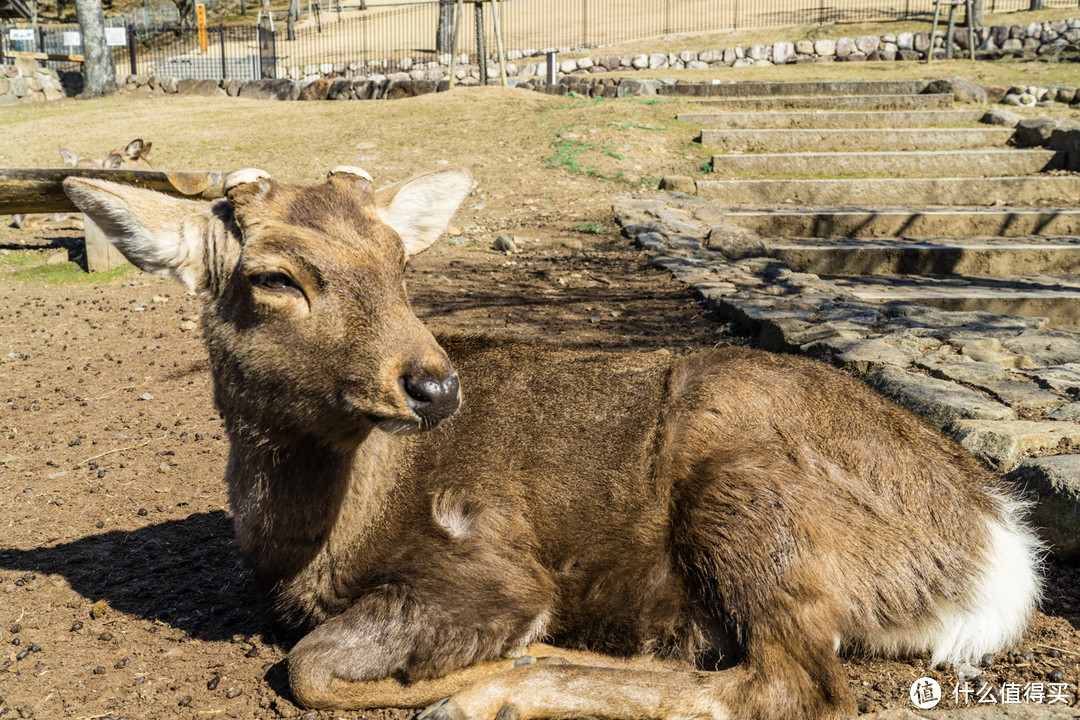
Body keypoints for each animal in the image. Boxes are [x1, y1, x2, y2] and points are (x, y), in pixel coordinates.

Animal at [63, 167, 1041, 720]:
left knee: (790, 685)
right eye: (273, 278)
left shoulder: (489, 561)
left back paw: (503, 689)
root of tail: (996, 549)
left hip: (751, 495)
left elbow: (308, 669)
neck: (304, 547)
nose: (435, 384)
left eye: (401, 262)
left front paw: (462, 681)